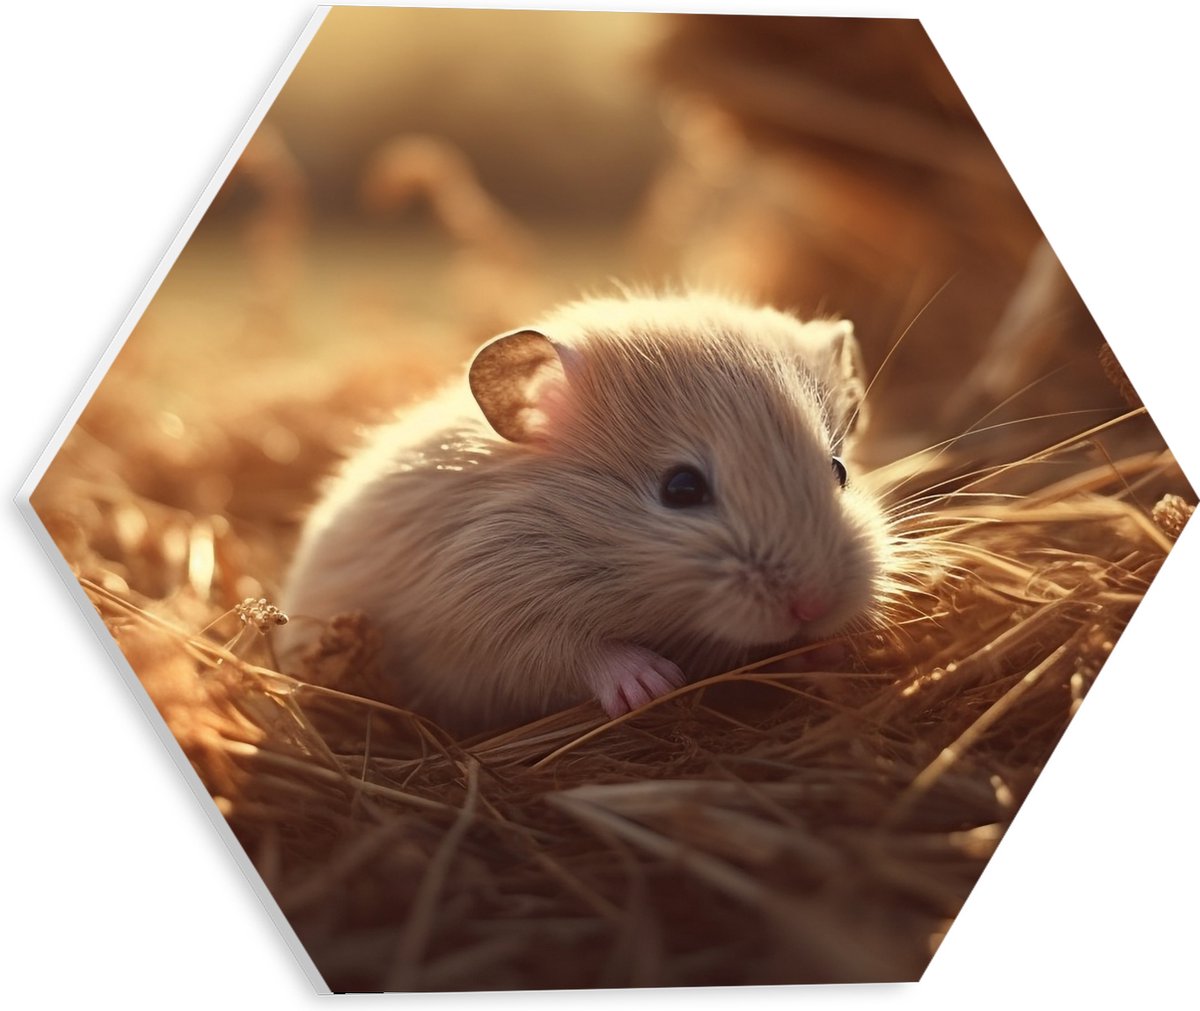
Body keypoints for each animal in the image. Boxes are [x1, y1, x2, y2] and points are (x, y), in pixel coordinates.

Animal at [278, 293, 890, 734]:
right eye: (681, 488)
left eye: (839, 470)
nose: (813, 606)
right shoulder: (481, 623)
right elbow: (574, 650)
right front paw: (655, 684)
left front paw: (840, 648)